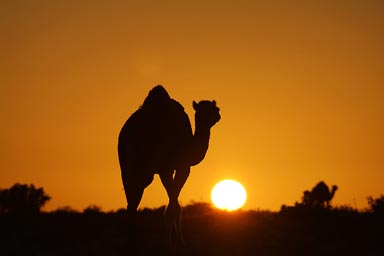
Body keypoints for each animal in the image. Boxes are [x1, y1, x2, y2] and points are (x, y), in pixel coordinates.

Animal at [117, 85, 220, 246]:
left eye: (214, 108)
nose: (216, 116)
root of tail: (130, 135)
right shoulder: (179, 167)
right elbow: (174, 203)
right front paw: (176, 241)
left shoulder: (169, 169)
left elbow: (173, 201)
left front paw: (172, 238)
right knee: (134, 198)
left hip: (128, 169)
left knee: (132, 200)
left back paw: (132, 240)